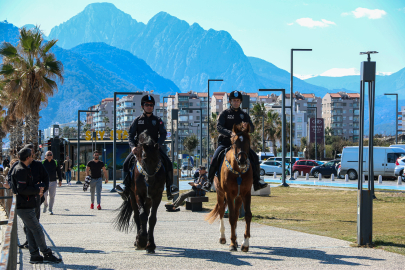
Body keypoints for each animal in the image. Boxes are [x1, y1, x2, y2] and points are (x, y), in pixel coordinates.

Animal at [205, 123, 252, 252]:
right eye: (235, 142)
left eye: (248, 141)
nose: (242, 160)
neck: (239, 172)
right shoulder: (229, 194)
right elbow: (230, 217)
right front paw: (232, 243)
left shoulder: (246, 193)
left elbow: (247, 215)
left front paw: (245, 243)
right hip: (220, 194)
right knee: (222, 211)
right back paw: (223, 237)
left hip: (239, 197)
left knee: (236, 214)